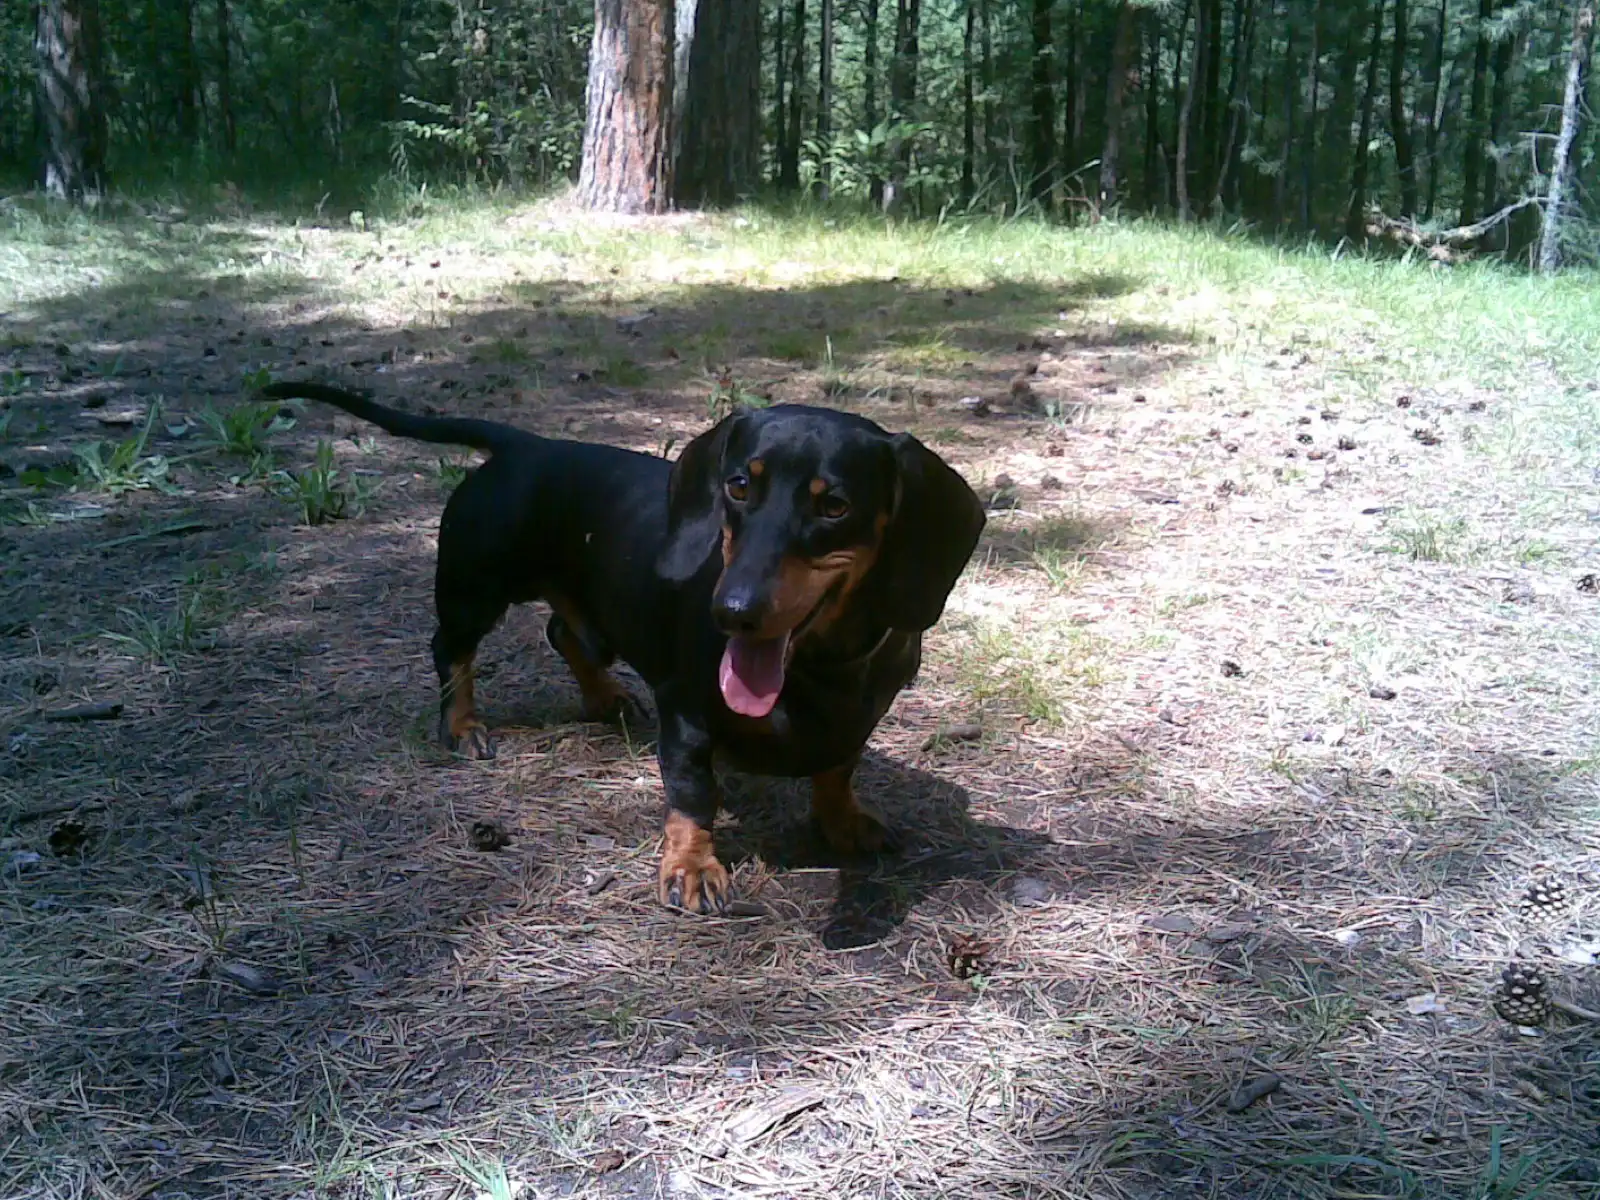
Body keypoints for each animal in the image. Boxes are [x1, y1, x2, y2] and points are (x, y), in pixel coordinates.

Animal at [257, 382, 986, 913]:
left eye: (834, 506)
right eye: (739, 485)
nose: (732, 612)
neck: (818, 666)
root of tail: (525, 445)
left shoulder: (861, 717)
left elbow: (838, 769)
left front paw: (845, 820)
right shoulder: (687, 712)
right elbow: (692, 791)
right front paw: (691, 865)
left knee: (562, 633)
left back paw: (605, 697)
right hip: (473, 588)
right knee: (450, 649)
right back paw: (463, 724)